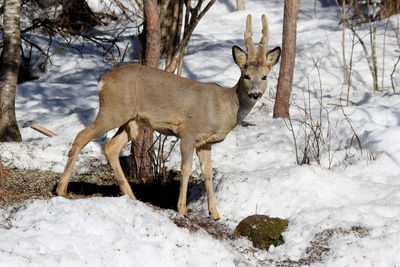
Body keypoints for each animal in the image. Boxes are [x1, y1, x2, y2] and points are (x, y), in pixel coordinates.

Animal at [56, 13, 282, 221]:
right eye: (246, 76)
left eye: (264, 77)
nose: (255, 94)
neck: (222, 108)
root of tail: (102, 81)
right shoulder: (189, 132)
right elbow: (186, 168)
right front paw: (182, 209)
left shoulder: (206, 143)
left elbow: (208, 173)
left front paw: (215, 213)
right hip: (112, 110)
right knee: (82, 136)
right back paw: (61, 189)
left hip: (132, 120)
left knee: (110, 147)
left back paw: (132, 197)